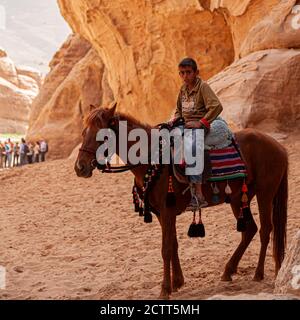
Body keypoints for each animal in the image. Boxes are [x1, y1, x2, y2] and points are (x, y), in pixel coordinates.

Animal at [75, 104, 288, 298]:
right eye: (84, 132)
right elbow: (173, 244)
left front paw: (164, 289)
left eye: (102, 137)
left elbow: (166, 248)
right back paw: (229, 271)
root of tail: (279, 147)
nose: (80, 167)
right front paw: (176, 282)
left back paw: (258, 273)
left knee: (265, 230)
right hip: (238, 198)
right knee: (250, 230)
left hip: (265, 194)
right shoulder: (161, 214)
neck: (153, 159)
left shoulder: (167, 211)